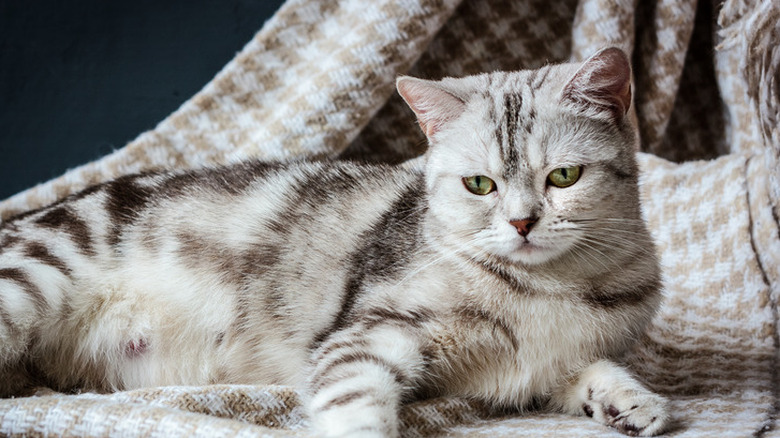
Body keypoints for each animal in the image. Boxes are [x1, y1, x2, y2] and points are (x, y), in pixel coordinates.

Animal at [0, 46, 672, 436]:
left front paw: (630, 401)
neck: (547, 288)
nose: (523, 223)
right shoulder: (371, 330)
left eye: (563, 177)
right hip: (31, 280)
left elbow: (590, 368)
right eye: (479, 184)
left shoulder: (539, 366)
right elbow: (356, 398)